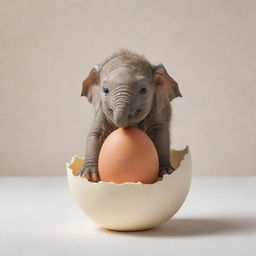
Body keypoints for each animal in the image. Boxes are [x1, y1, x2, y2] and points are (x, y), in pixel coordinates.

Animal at [79, 49, 181, 182]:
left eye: (143, 90)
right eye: (105, 90)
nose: (122, 124)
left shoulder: (157, 110)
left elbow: (160, 133)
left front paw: (166, 173)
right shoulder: (101, 111)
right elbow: (96, 133)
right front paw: (88, 175)